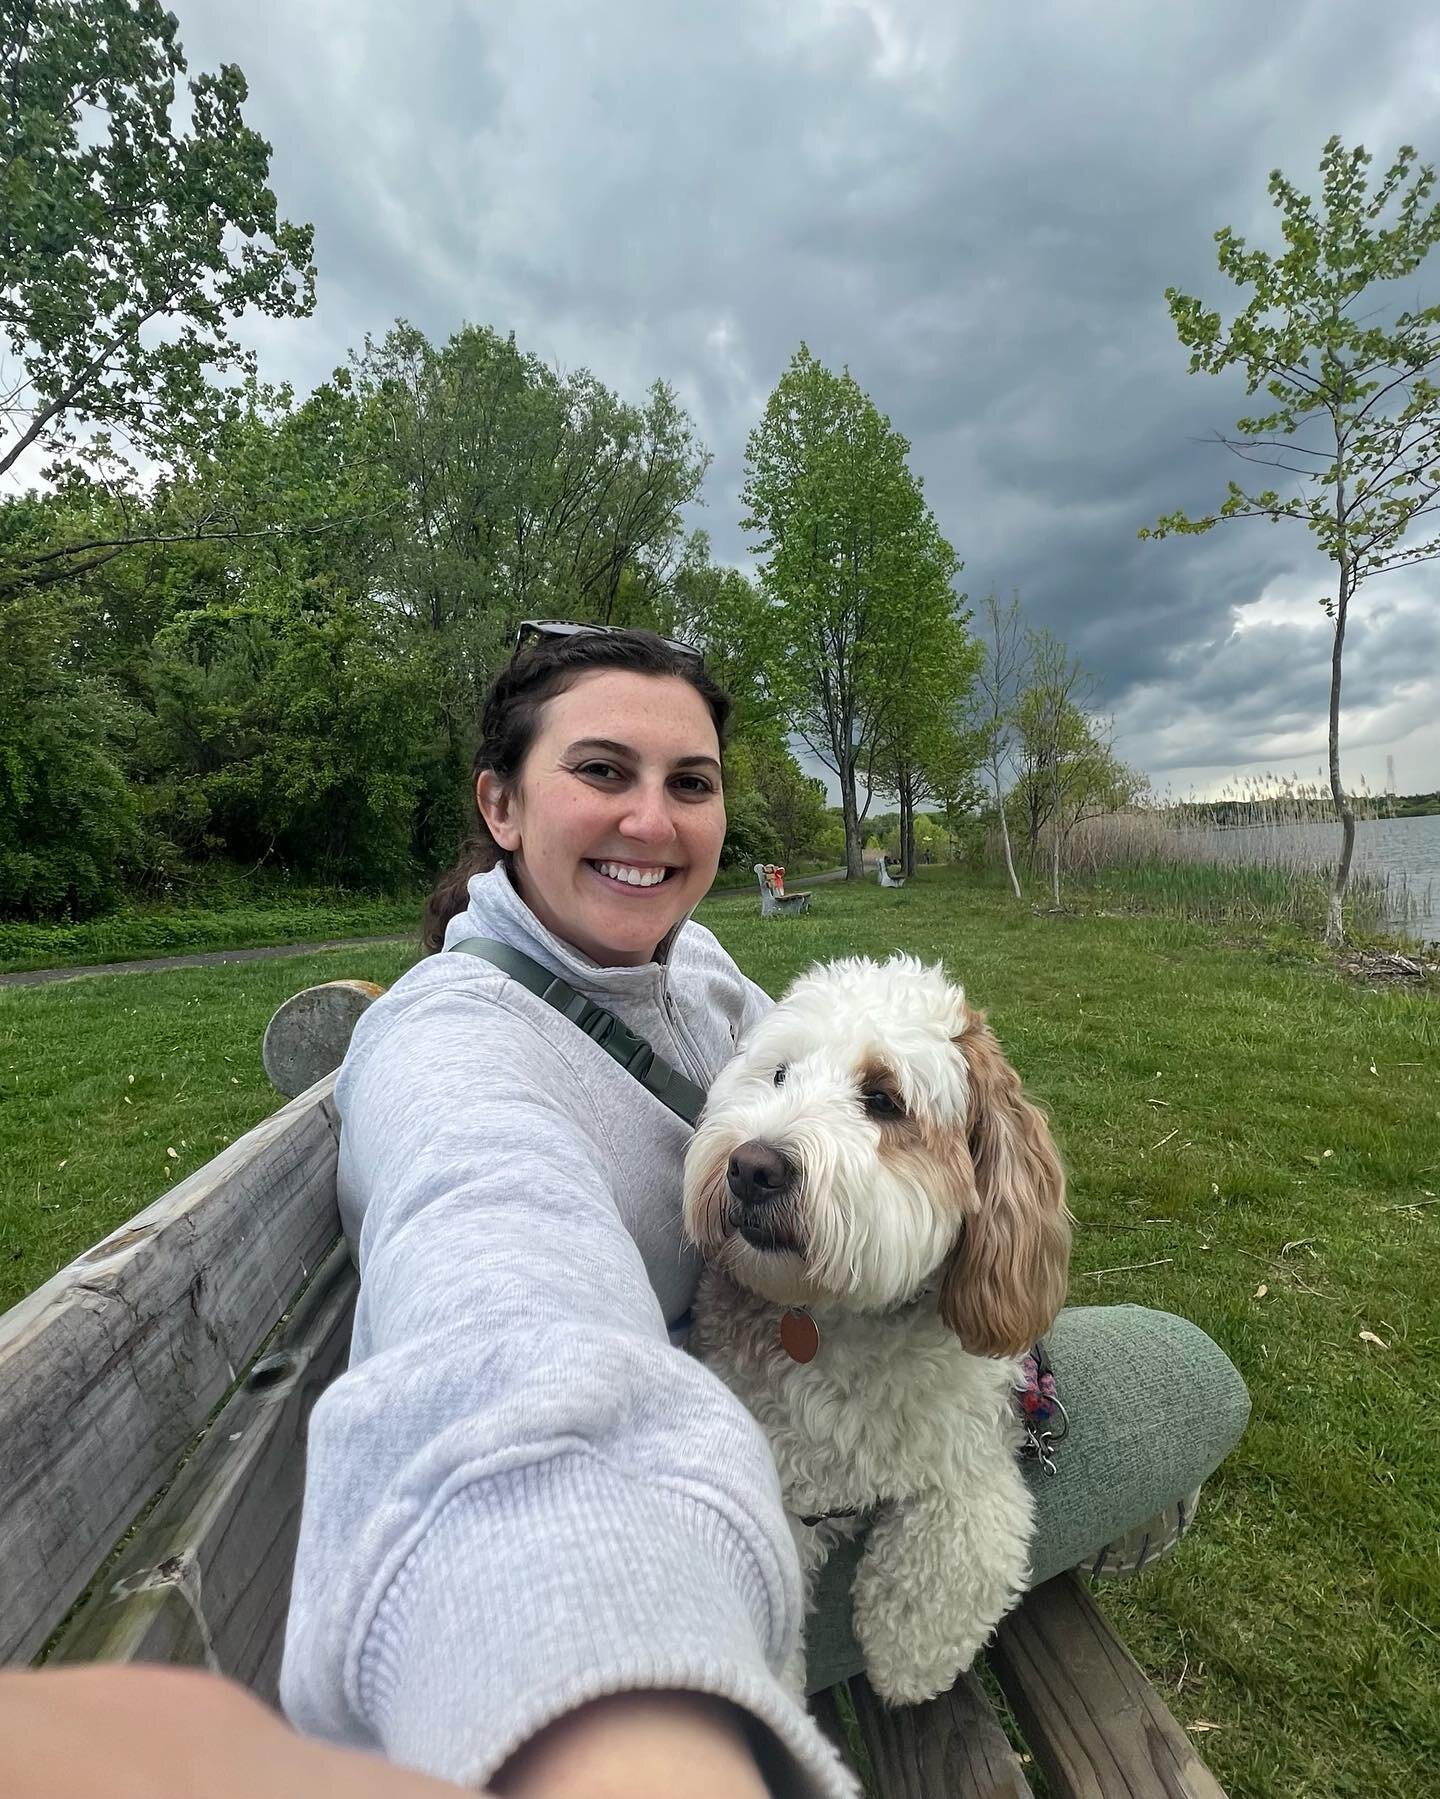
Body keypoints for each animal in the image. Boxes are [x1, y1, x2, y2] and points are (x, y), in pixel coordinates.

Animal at [687, 957, 1065, 1698]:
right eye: (779, 1075)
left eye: (885, 1100)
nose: (751, 1167)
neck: (840, 1319)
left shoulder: (974, 1450)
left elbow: (963, 1549)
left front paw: (908, 1659)